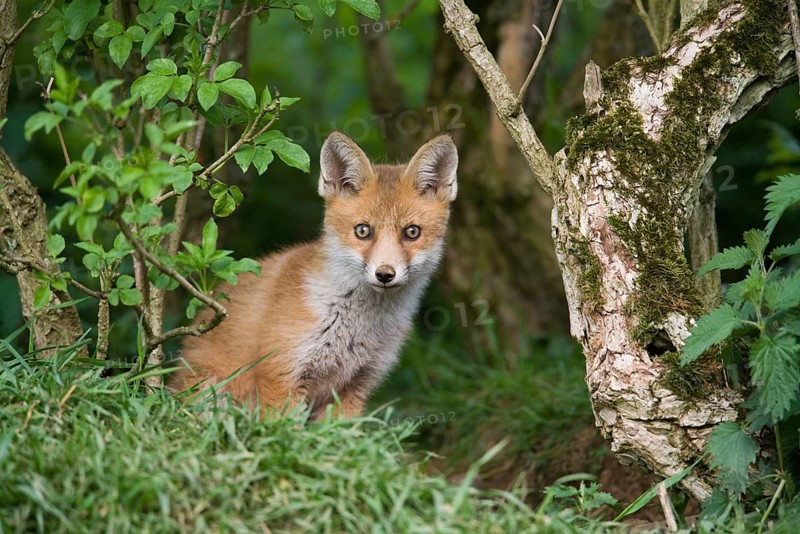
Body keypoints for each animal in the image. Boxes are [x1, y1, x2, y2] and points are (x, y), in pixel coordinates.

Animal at [171, 131, 458, 419]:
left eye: (412, 232)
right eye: (363, 231)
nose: (385, 274)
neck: (356, 328)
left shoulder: (355, 386)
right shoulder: (282, 374)